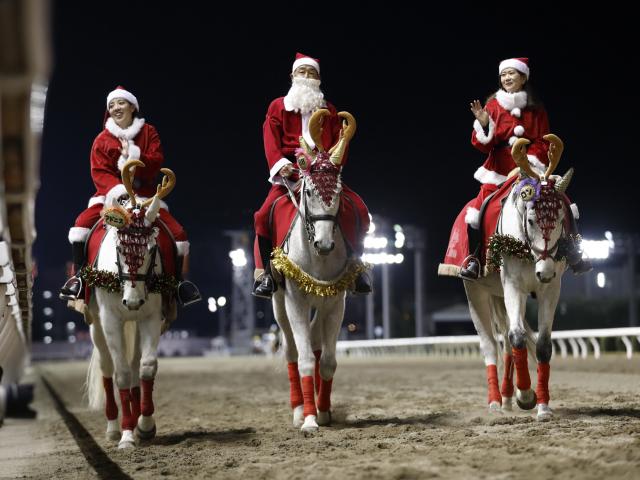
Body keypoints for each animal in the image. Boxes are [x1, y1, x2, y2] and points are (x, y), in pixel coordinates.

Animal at [85, 160, 176, 446]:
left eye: (151, 249)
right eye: (120, 248)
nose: (133, 302)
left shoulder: (150, 318)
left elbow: (146, 368)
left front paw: (145, 425)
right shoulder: (110, 319)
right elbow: (121, 373)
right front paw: (126, 434)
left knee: (136, 365)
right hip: (96, 325)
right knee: (107, 367)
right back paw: (114, 427)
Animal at [272, 110, 364, 434]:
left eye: (338, 194)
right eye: (309, 191)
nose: (324, 244)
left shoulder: (335, 303)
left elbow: (327, 362)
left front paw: (323, 411)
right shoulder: (296, 302)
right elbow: (304, 362)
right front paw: (310, 419)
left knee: (313, 345)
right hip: (279, 305)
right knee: (291, 351)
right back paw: (299, 409)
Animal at [462, 136, 572, 420]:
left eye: (560, 219)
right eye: (531, 219)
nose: (544, 271)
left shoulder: (551, 288)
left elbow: (541, 345)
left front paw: (542, 406)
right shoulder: (512, 285)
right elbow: (518, 337)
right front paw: (526, 395)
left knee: (507, 343)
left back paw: (507, 398)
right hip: (476, 291)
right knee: (491, 345)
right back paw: (494, 401)